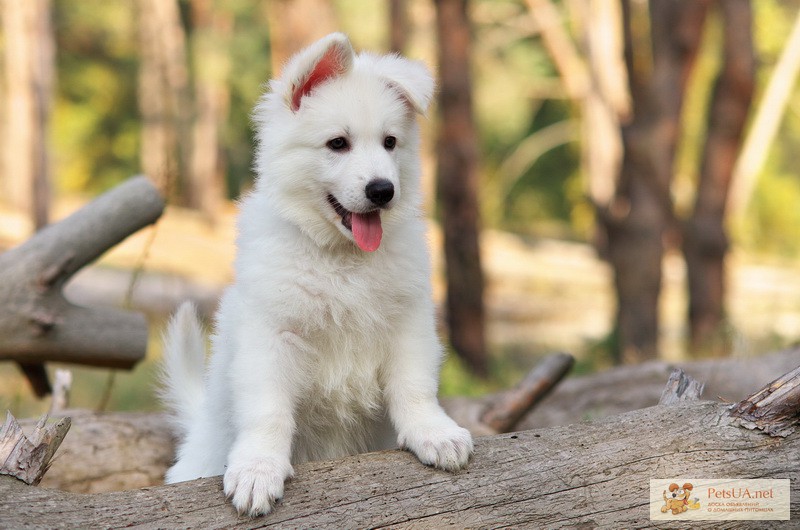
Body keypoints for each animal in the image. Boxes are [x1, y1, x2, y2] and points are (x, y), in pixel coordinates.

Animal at [161, 31, 476, 512]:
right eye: (338, 144)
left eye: (390, 142)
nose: (383, 190)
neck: (342, 258)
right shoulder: (270, 336)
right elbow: (268, 410)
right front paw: (258, 469)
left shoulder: (408, 322)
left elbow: (415, 386)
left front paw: (434, 434)